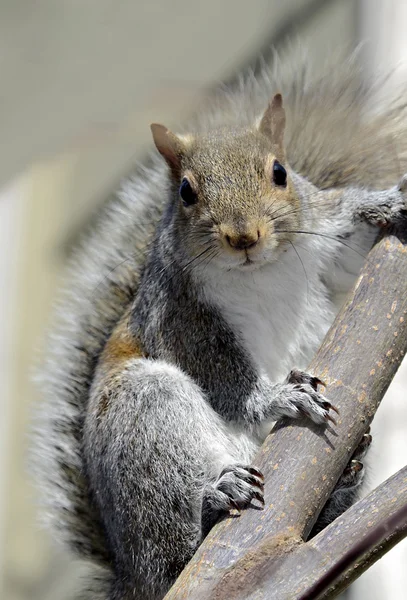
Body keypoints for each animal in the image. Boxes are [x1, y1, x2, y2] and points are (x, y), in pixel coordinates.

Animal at [34, 51, 407, 600]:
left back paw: (342, 486)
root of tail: (130, 576)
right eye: (187, 192)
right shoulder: (180, 316)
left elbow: (353, 246)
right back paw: (213, 503)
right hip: (145, 424)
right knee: (173, 547)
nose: (243, 236)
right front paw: (277, 397)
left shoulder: (325, 242)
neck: (257, 273)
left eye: (280, 172)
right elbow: (224, 377)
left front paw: (386, 203)